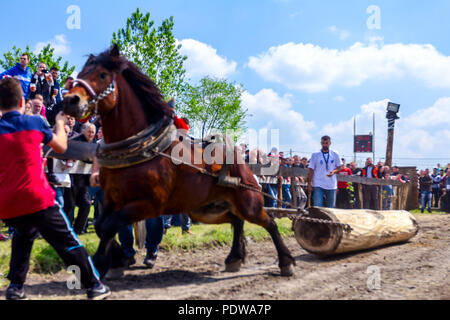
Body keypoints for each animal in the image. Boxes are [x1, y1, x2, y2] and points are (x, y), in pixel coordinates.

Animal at [63, 44, 296, 278]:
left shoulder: (150, 204)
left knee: (269, 222)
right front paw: (118, 259)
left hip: (248, 202)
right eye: (80, 73)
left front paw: (102, 263)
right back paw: (234, 258)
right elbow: (102, 226)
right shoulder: (112, 198)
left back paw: (286, 262)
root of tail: (240, 160)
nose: (70, 100)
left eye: (102, 75)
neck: (141, 148)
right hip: (205, 209)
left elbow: (111, 225)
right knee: (236, 220)